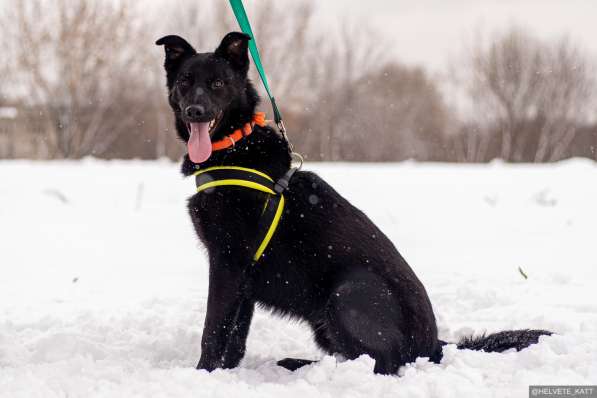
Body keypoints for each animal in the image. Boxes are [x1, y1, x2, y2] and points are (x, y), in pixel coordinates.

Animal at [155, 32, 548, 374]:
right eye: (186, 81)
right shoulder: (243, 274)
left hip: (348, 292)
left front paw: (202, 374)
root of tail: (433, 343)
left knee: (383, 362)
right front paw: (226, 373)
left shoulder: (227, 262)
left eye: (218, 84)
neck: (235, 147)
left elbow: (213, 329)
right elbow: (235, 335)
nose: (195, 111)